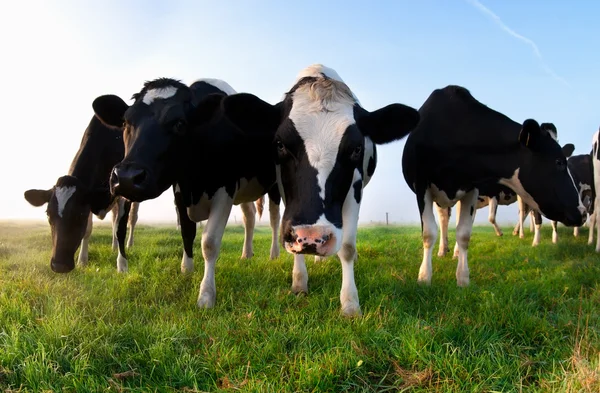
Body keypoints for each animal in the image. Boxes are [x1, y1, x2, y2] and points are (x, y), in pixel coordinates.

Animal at [22, 102, 141, 272]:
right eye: (48, 214)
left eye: (80, 214)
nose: (59, 265)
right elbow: (89, 230)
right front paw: (82, 260)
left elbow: (121, 228)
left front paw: (122, 265)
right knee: (114, 219)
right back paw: (113, 246)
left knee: (132, 219)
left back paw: (129, 245)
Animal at [92, 77, 282, 310]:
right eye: (126, 122)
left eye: (179, 123)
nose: (127, 177)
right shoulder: (180, 190)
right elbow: (187, 231)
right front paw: (186, 270)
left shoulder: (225, 190)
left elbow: (209, 242)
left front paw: (206, 294)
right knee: (249, 217)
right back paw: (246, 255)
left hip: (275, 184)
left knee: (274, 219)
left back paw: (274, 254)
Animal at [218, 64, 420, 316]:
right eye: (280, 144)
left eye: (356, 148)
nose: (311, 237)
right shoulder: (285, 194)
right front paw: (299, 283)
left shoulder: (354, 188)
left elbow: (347, 247)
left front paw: (350, 303)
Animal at [404, 86, 584, 286]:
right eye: (559, 162)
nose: (582, 212)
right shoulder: (422, 186)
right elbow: (429, 233)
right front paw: (424, 277)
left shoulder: (472, 189)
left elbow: (464, 233)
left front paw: (463, 278)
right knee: (443, 220)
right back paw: (443, 250)